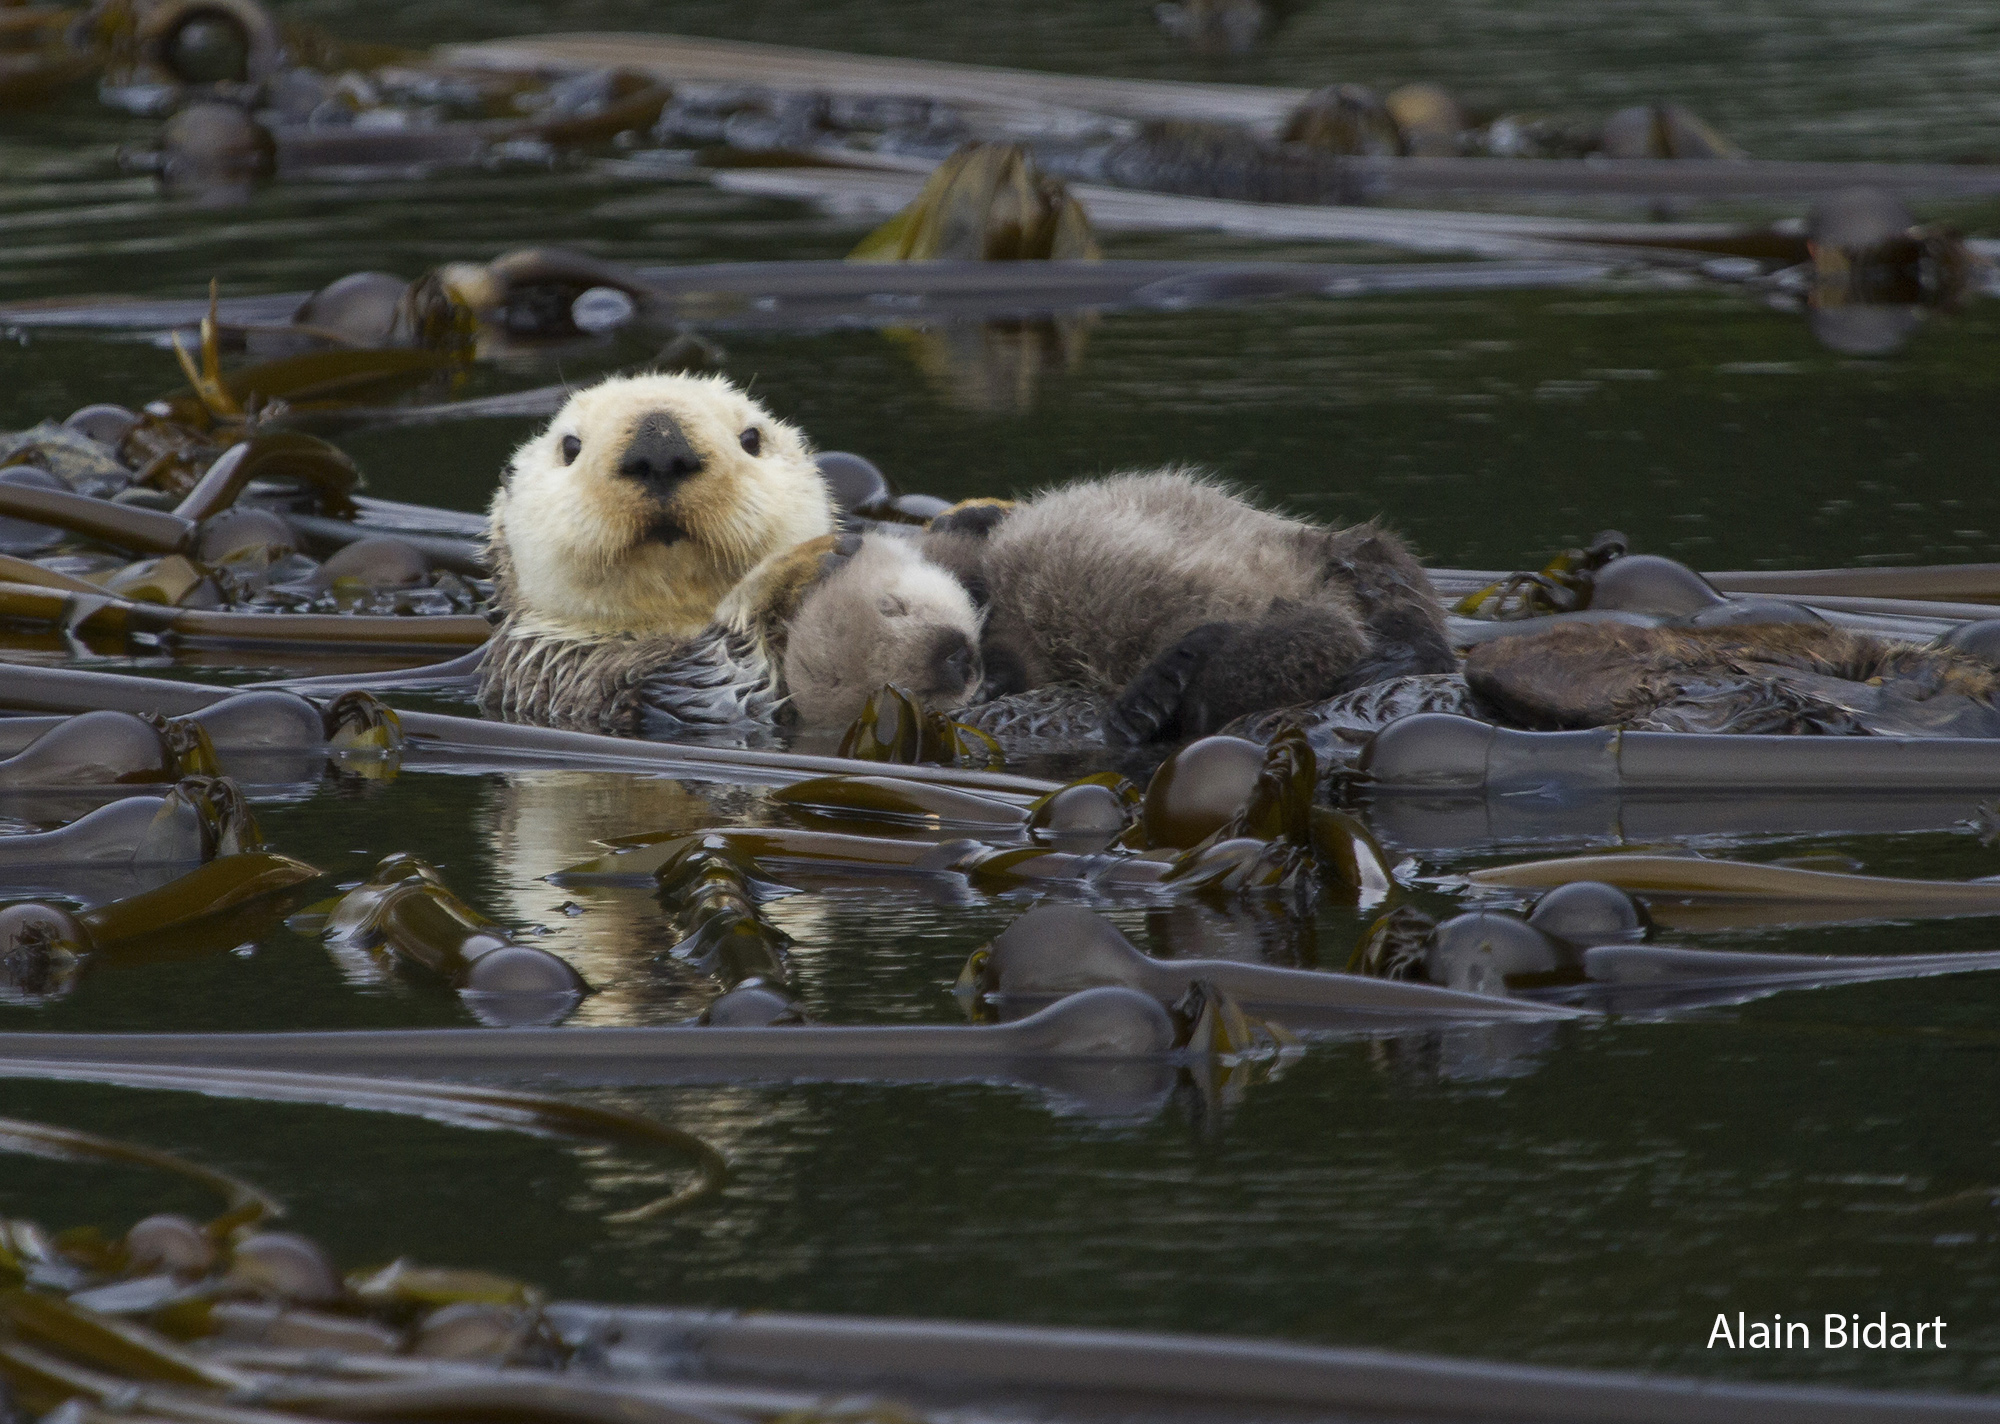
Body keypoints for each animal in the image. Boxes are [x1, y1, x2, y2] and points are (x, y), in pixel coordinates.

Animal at [478, 372, 835, 736]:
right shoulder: (577, 676)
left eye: (752, 439)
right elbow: (722, 685)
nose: (660, 450)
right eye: (569, 447)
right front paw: (797, 563)